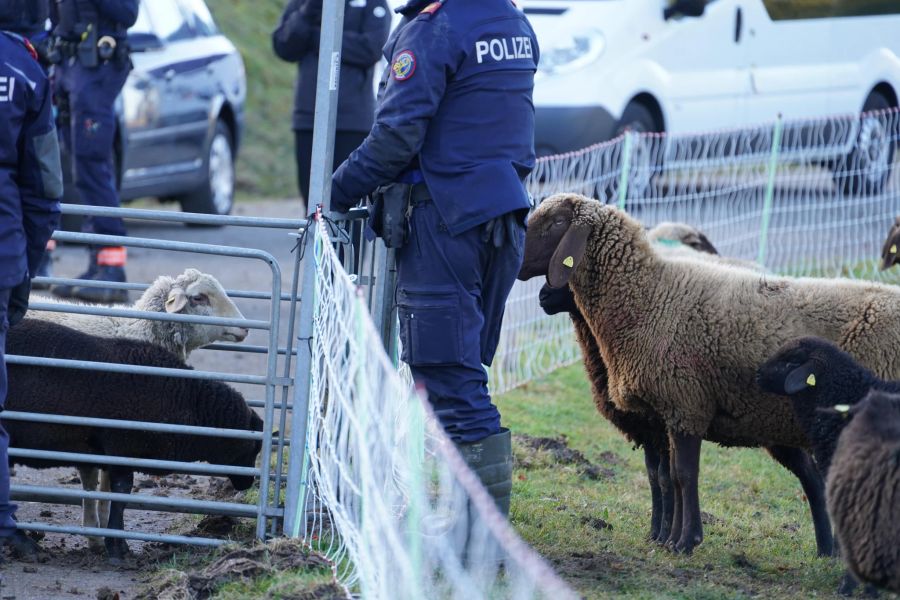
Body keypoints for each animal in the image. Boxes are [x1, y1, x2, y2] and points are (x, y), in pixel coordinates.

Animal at [2, 322, 264, 560]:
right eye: (253, 447)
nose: (247, 484)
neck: (186, 400)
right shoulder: (122, 446)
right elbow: (122, 493)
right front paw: (118, 547)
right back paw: (26, 545)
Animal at [27, 270, 248, 552]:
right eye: (199, 297)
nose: (244, 328)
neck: (136, 329)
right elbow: (93, 481)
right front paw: (95, 535)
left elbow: (106, 484)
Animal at [520, 192, 900, 552]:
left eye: (556, 223)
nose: (536, 289)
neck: (648, 297)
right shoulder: (667, 415)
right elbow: (669, 476)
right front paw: (670, 539)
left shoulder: (685, 405)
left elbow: (683, 476)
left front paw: (685, 541)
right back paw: (827, 552)